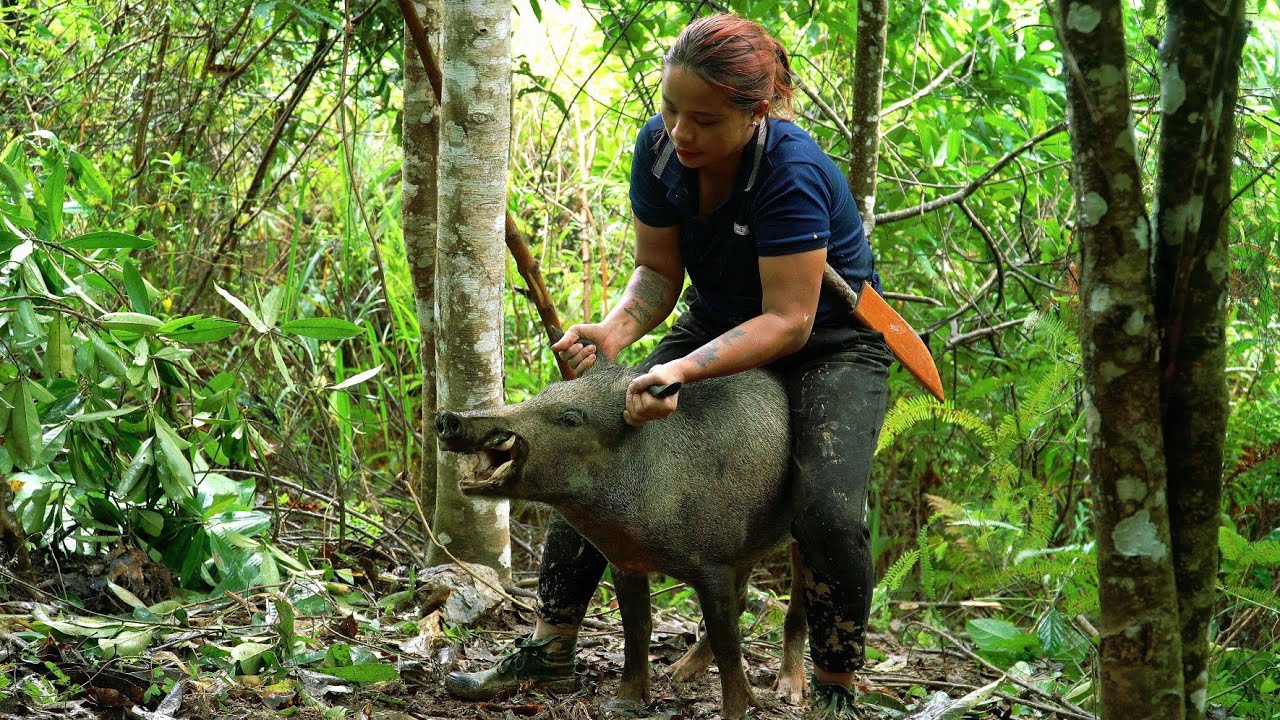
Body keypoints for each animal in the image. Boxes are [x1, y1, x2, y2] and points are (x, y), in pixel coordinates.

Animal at [434, 361, 807, 719]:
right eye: (543, 392)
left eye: (570, 418)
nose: (448, 419)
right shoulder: (626, 561)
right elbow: (637, 630)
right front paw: (624, 703)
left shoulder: (714, 564)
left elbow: (727, 644)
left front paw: (735, 712)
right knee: (743, 600)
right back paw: (677, 672)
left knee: (794, 608)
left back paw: (789, 691)